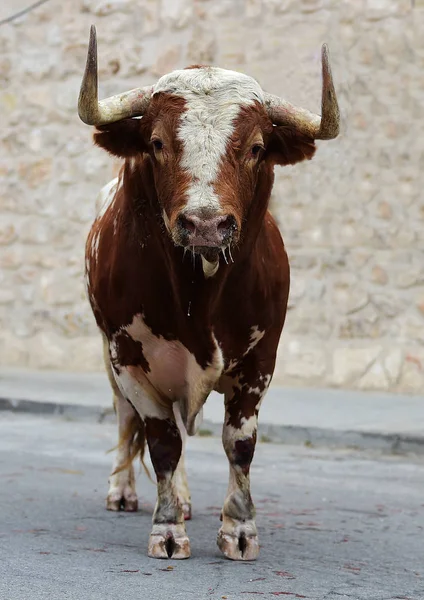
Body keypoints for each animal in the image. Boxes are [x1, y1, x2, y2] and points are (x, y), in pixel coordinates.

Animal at [78, 27, 338, 564]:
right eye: (157, 142)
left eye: (257, 147)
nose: (204, 224)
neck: (201, 293)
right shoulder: (128, 356)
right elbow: (161, 441)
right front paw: (166, 530)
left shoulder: (261, 359)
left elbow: (239, 444)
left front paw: (239, 529)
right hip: (111, 356)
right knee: (128, 420)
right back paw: (125, 491)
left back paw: (182, 497)